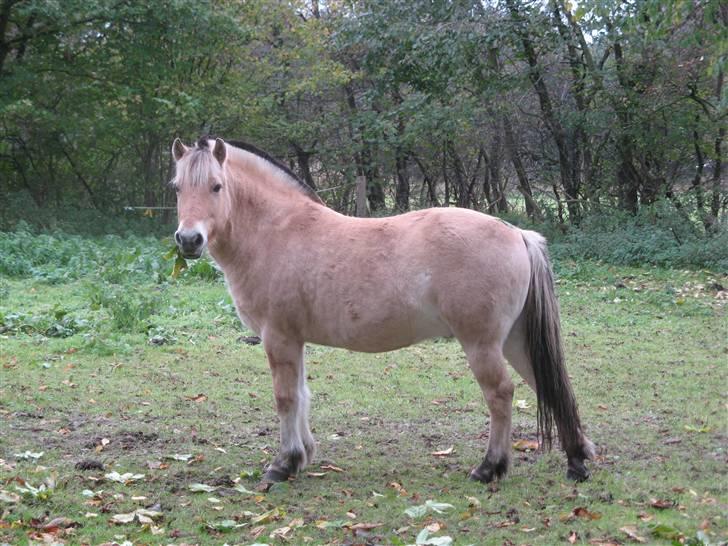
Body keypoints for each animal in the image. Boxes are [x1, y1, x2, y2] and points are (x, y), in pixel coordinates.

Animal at [172, 136, 596, 484]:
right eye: (176, 187)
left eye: (216, 186)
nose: (189, 240)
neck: (277, 231)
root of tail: (516, 233)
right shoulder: (295, 340)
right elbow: (302, 394)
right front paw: (303, 455)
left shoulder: (278, 339)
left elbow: (286, 398)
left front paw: (284, 464)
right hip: (515, 339)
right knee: (548, 384)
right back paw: (576, 459)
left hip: (483, 344)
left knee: (501, 394)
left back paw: (489, 467)